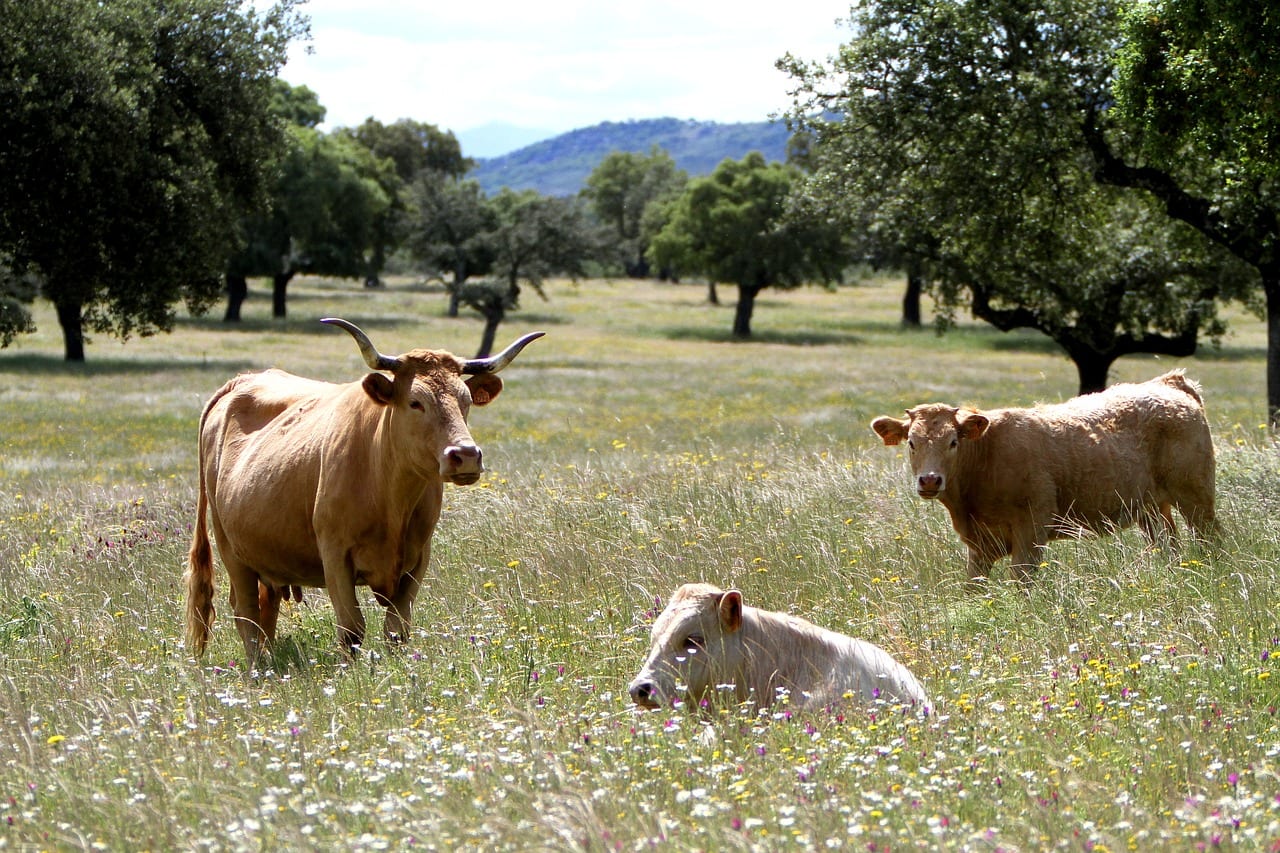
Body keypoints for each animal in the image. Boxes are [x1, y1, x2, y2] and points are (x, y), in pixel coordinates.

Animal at [185, 315, 540, 660]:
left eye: (465, 401)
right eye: (416, 402)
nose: (465, 455)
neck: (389, 495)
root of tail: (240, 382)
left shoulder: (418, 559)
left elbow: (397, 630)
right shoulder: (335, 554)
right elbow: (352, 629)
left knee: (264, 609)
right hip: (230, 547)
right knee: (245, 612)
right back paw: (258, 668)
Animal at [870, 368, 1218, 581]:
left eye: (953, 442)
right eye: (911, 442)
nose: (930, 480)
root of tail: (1167, 383)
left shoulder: (1031, 530)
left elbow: (1021, 581)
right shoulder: (979, 547)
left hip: (1196, 498)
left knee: (1212, 539)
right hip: (1151, 509)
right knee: (1169, 546)